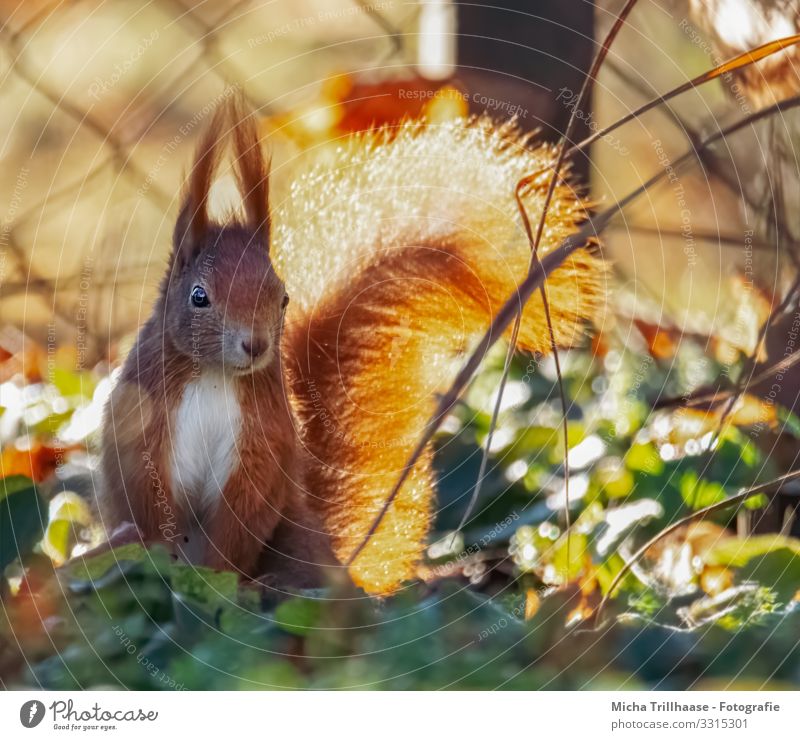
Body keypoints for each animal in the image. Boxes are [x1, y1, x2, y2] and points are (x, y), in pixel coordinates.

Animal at [100, 99, 604, 596]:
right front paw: (179, 568)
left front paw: (216, 579)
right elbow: (146, 493)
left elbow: (241, 512)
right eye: (199, 296)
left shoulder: (262, 439)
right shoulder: (145, 415)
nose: (255, 345)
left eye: (282, 298)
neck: (214, 374)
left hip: (296, 533)